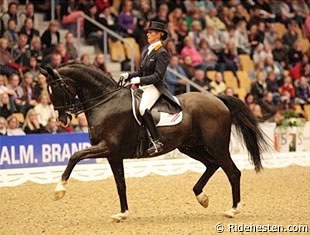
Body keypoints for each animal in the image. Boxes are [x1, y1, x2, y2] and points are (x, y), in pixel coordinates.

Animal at [40, 62, 268, 220]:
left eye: (57, 88)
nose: (62, 120)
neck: (105, 102)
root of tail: (218, 99)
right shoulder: (113, 154)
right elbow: (120, 183)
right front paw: (122, 214)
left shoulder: (107, 147)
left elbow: (75, 156)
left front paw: (59, 190)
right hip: (190, 146)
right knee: (212, 165)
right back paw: (201, 197)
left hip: (216, 145)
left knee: (232, 172)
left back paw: (233, 209)